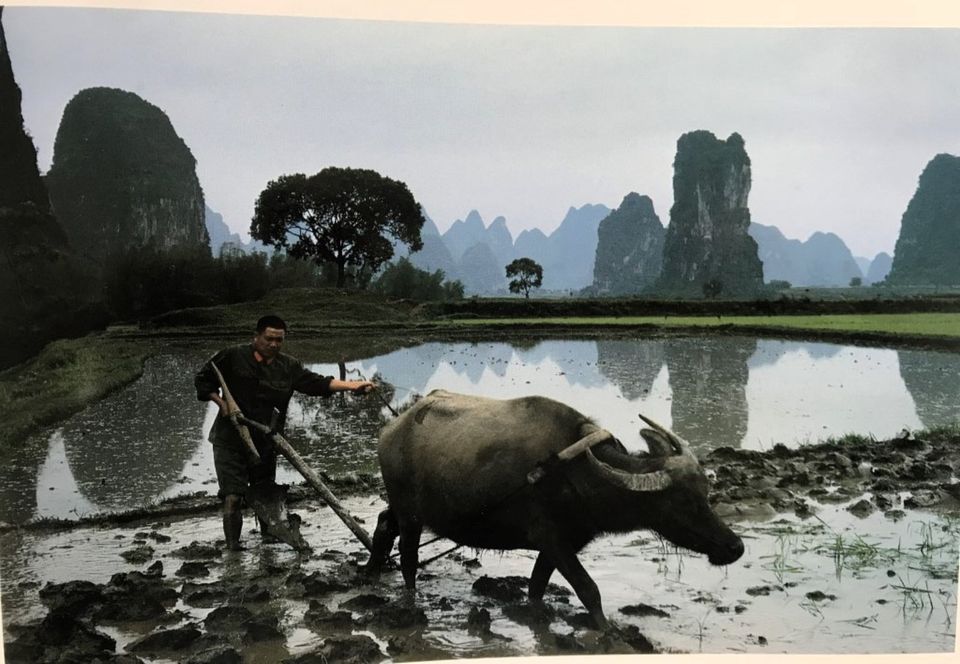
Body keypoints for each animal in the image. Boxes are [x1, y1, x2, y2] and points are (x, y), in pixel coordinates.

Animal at [366, 390, 744, 628]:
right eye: (683, 501)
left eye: (705, 493)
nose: (735, 547)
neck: (576, 473)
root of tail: (389, 432)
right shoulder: (553, 540)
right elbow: (589, 589)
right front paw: (608, 632)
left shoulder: (560, 545)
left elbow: (537, 587)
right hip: (411, 515)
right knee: (408, 559)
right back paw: (409, 599)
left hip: (403, 509)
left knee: (384, 523)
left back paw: (371, 572)